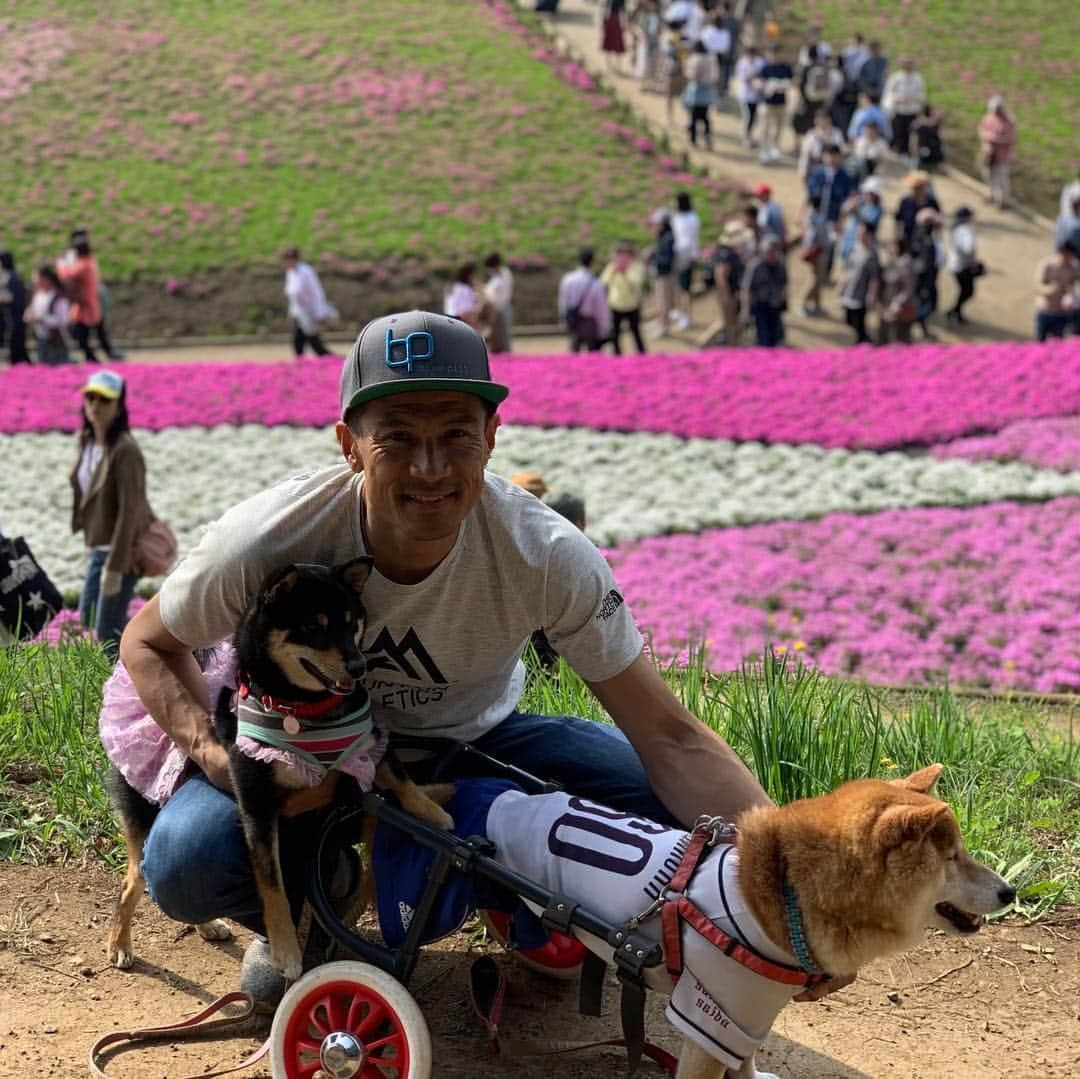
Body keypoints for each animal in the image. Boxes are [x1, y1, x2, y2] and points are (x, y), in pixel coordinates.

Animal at [105, 561, 451, 985]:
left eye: (353, 624)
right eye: (314, 627)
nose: (358, 666)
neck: (306, 710)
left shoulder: (369, 742)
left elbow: (399, 776)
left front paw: (434, 813)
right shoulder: (258, 803)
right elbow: (273, 885)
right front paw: (286, 949)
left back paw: (207, 925)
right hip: (146, 822)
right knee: (132, 884)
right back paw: (120, 944)